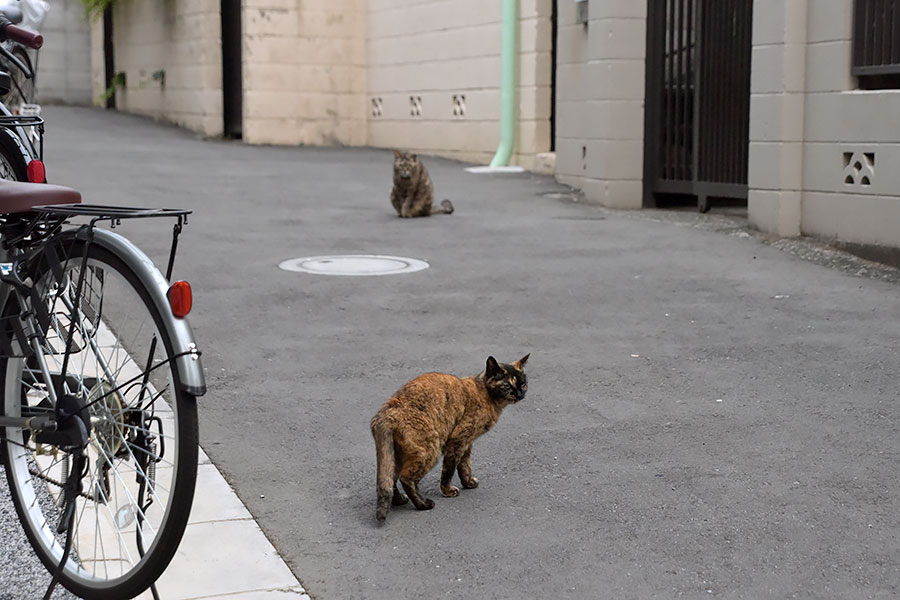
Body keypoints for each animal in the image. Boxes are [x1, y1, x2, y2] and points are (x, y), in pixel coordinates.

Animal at [370, 354, 528, 524]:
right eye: (507, 386)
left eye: (523, 384)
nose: (520, 394)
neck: (484, 393)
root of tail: (386, 413)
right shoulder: (458, 439)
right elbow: (450, 469)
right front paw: (447, 490)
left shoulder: (467, 443)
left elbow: (465, 465)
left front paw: (468, 483)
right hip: (431, 449)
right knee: (406, 479)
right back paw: (424, 504)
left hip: (396, 455)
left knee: (390, 479)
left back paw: (399, 500)